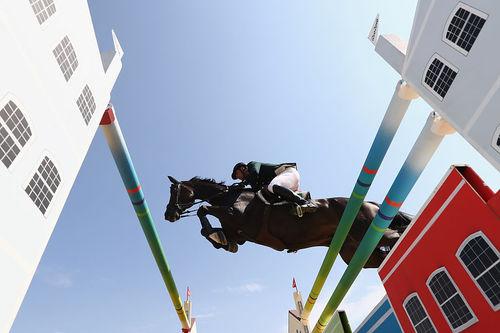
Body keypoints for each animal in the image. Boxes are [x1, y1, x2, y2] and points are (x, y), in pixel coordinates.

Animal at [164, 176, 410, 268]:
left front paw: (214, 235)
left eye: (174, 190)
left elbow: (203, 209)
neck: (228, 196)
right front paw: (220, 241)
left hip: (367, 232)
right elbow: (221, 236)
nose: (168, 215)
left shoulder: (239, 216)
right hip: (354, 253)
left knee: (396, 234)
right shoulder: (240, 234)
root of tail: (371, 203)